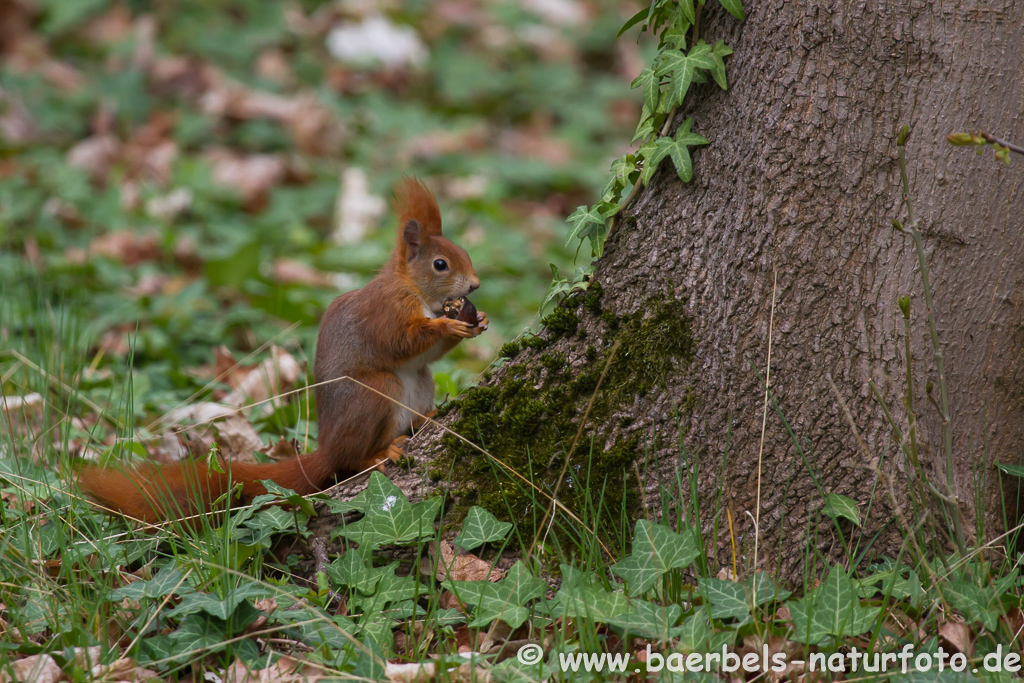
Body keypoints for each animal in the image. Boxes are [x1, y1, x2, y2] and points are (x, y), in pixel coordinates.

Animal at [77, 178, 485, 524]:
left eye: (465, 252)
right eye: (440, 264)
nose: (476, 284)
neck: (415, 290)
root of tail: (327, 447)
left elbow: (429, 354)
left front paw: (478, 322)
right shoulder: (386, 313)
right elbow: (401, 341)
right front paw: (447, 325)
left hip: (420, 382)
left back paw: (424, 418)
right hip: (375, 393)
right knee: (351, 460)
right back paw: (381, 452)